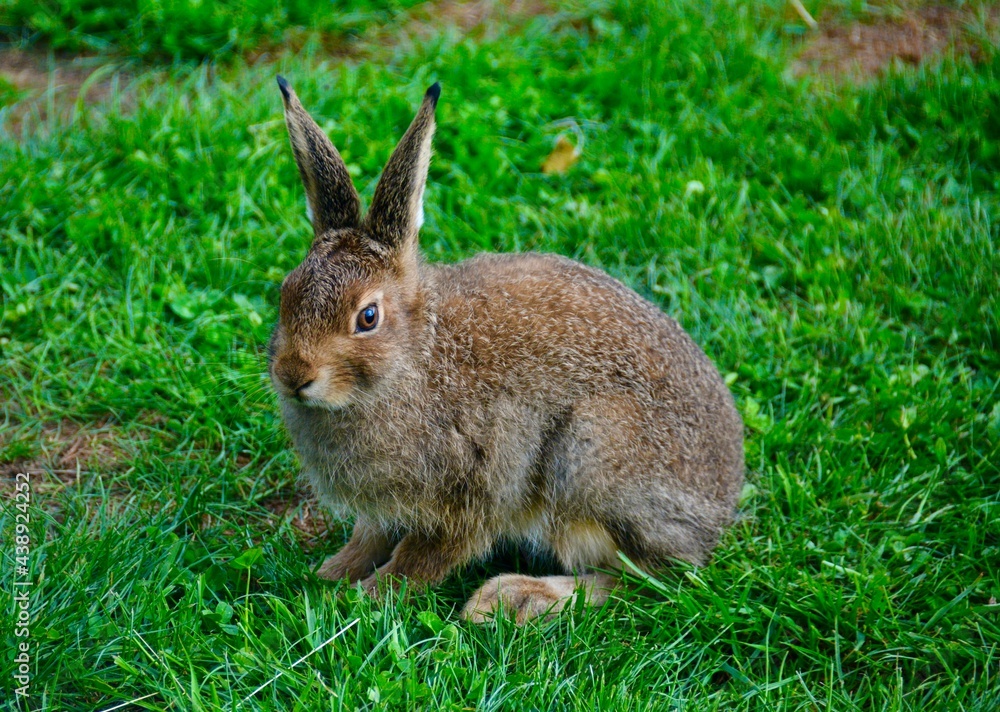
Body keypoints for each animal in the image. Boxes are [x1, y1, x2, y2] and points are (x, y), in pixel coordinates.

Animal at [268, 76, 745, 624]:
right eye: (286, 292)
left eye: (367, 317)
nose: (293, 375)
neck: (414, 360)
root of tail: (721, 505)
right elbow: (370, 538)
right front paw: (333, 573)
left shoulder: (477, 485)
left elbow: (426, 556)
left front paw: (365, 599)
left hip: (590, 457)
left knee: (649, 580)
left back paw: (512, 598)